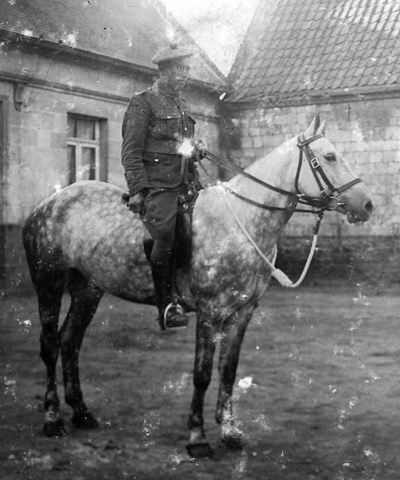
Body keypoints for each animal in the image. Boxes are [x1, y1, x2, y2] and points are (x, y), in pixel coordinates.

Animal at [21, 113, 372, 458]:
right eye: (329, 156)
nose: (367, 205)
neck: (242, 221)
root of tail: (47, 204)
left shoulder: (242, 313)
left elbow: (228, 371)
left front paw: (230, 432)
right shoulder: (210, 311)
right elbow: (202, 374)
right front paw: (197, 437)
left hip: (88, 290)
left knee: (70, 342)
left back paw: (82, 413)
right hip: (49, 283)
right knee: (50, 343)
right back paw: (53, 419)